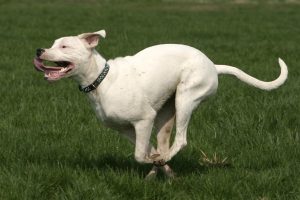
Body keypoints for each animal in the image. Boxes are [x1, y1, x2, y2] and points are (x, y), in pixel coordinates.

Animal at [34, 30, 288, 178]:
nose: (39, 50)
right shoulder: (126, 129)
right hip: (166, 115)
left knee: (181, 139)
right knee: (165, 144)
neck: (101, 80)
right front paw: (158, 165)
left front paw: (154, 161)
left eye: (64, 46)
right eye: (53, 43)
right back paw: (161, 173)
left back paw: (164, 163)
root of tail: (213, 66)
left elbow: (140, 155)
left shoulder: (143, 120)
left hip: (186, 98)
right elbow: (147, 149)